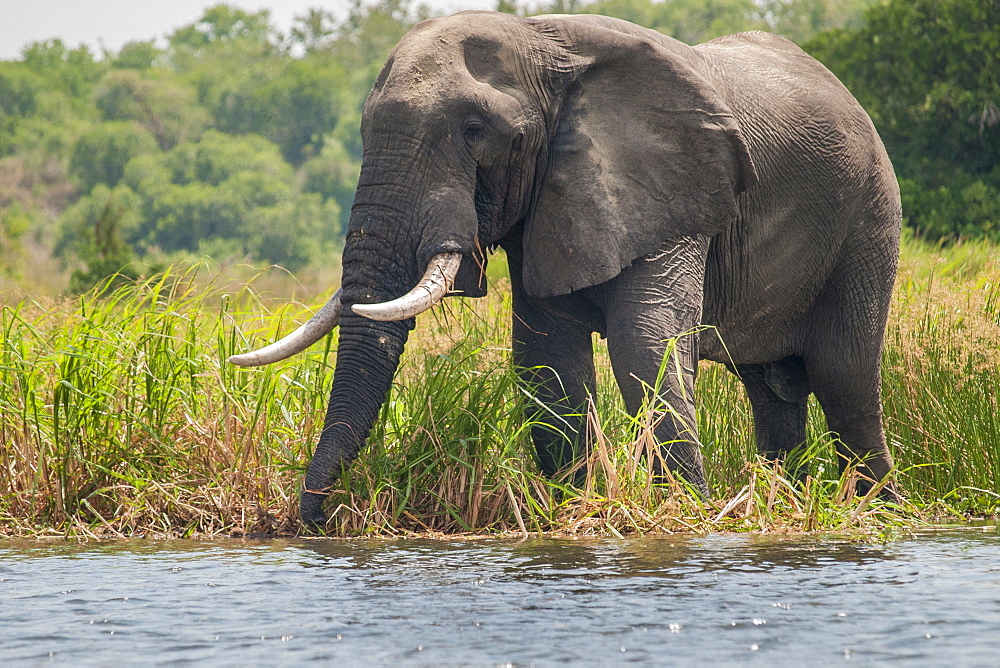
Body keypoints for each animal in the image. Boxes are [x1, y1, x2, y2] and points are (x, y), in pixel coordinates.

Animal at [230, 10, 904, 528]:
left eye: (475, 131)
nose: (319, 519)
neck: (539, 41)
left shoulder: (673, 187)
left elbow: (645, 347)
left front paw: (687, 516)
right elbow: (546, 360)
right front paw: (569, 514)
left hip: (870, 217)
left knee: (844, 376)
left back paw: (875, 511)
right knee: (772, 388)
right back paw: (786, 501)